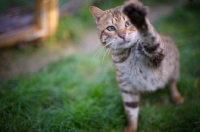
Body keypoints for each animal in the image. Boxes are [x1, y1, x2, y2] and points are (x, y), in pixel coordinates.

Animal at [90, 0, 184, 131]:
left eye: (128, 23)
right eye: (111, 28)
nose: (122, 35)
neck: (126, 55)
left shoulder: (157, 53)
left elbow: (150, 36)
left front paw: (138, 18)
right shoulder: (127, 87)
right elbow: (131, 111)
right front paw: (131, 128)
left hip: (173, 70)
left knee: (172, 83)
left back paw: (176, 96)